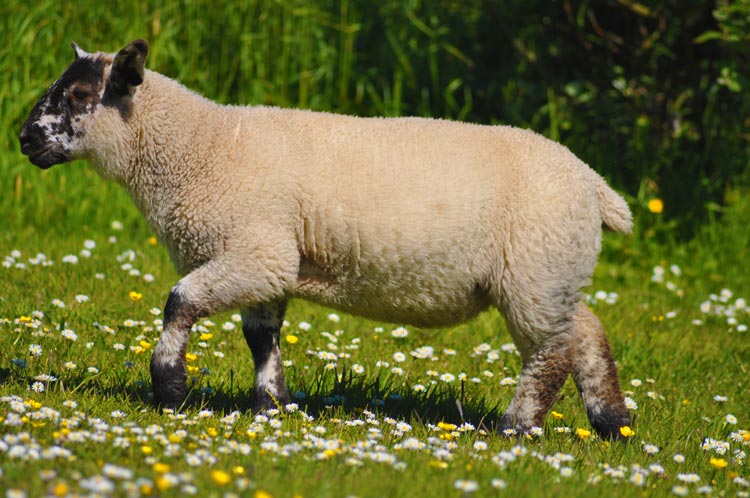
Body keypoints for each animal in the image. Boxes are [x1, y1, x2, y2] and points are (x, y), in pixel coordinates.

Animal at [19, 39, 633, 439]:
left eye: (79, 94)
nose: (24, 139)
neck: (201, 147)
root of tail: (594, 185)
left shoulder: (255, 249)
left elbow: (179, 302)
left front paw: (170, 387)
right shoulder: (268, 261)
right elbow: (260, 337)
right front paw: (273, 406)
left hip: (534, 270)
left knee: (551, 354)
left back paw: (516, 428)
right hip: (551, 271)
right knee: (585, 331)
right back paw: (612, 421)